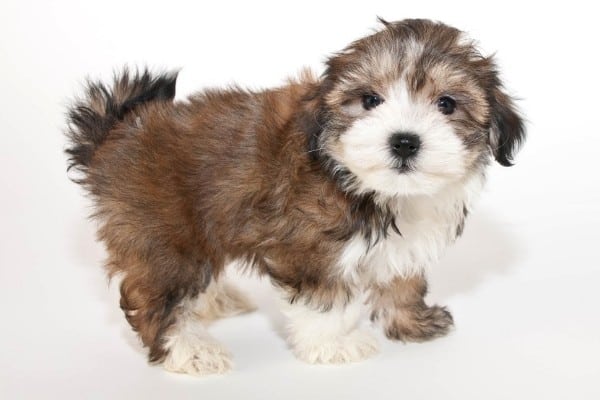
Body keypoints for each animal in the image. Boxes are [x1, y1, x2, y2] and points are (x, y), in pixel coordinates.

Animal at [67, 18, 524, 376]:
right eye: (370, 100)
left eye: (446, 104)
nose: (405, 141)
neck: (367, 185)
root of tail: (115, 132)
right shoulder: (308, 247)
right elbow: (325, 300)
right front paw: (336, 343)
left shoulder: (404, 243)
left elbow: (401, 280)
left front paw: (411, 321)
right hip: (162, 231)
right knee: (153, 296)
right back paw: (189, 348)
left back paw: (212, 303)